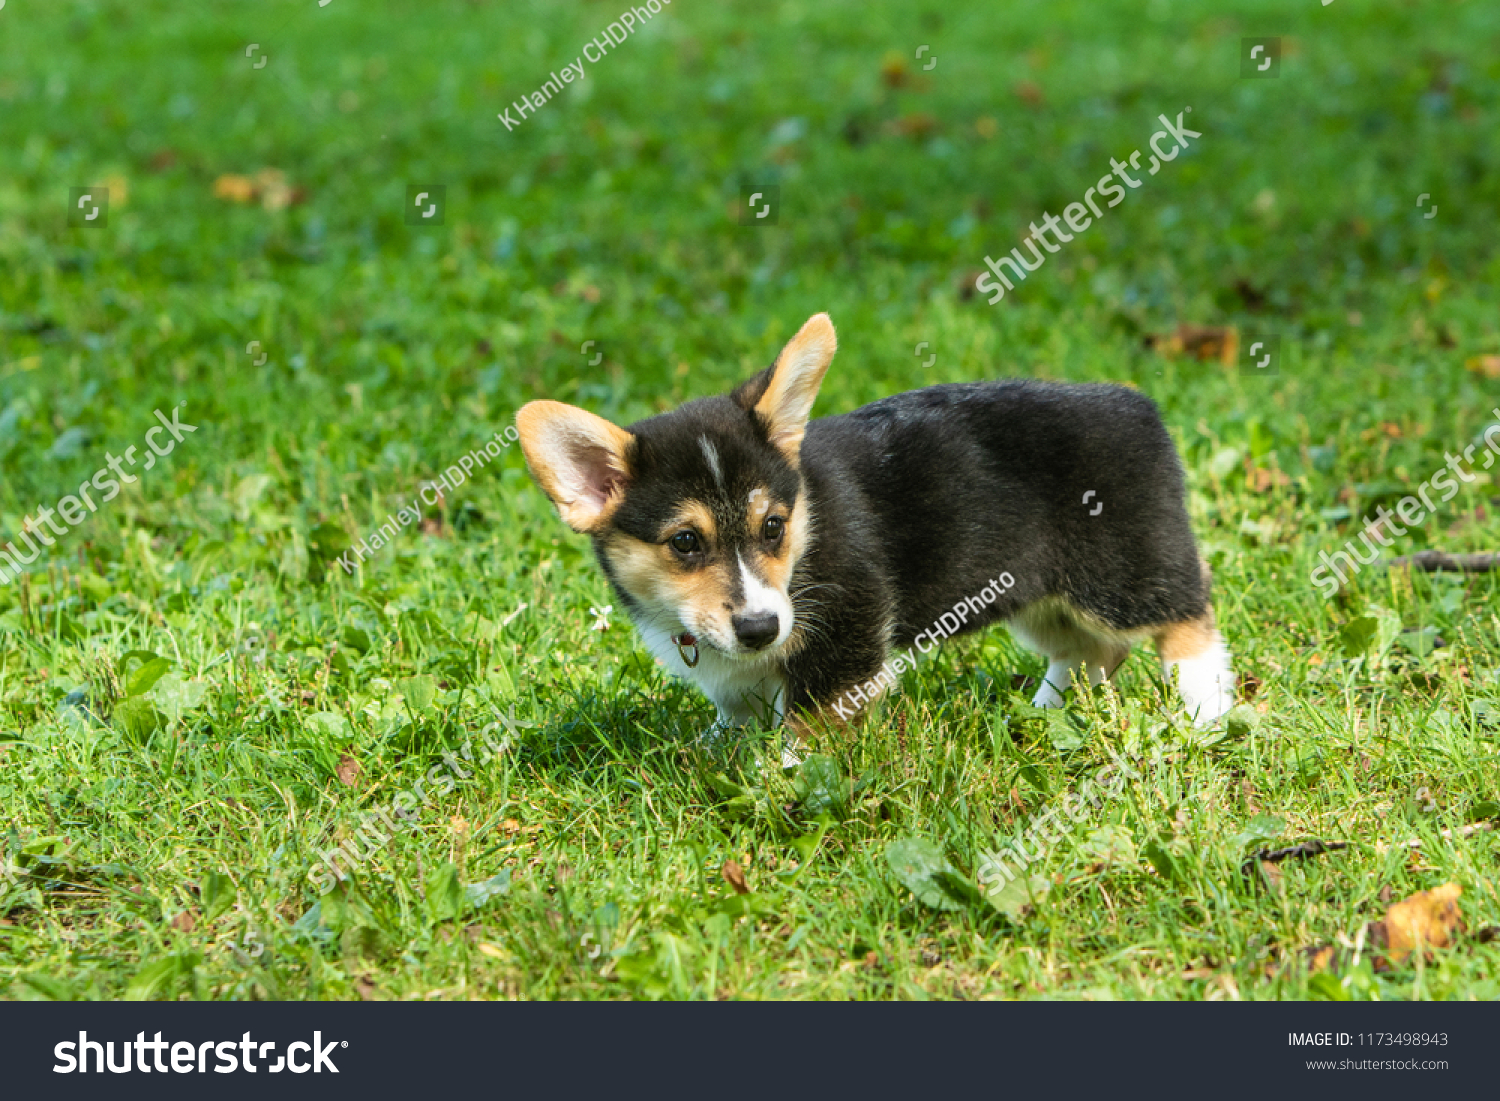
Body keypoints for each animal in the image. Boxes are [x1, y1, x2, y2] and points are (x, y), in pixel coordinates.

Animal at [522, 312, 1236, 750]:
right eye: (685, 543)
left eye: (772, 526)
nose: (761, 628)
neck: (806, 537)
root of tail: (1139, 406)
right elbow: (736, 715)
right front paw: (719, 753)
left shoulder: (845, 632)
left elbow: (807, 723)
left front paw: (781, 776)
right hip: (1039, 596)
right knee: (1091, 653)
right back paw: (1041, 714)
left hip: (1122, 574)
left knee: (1188, 615)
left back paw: (1206, 710)